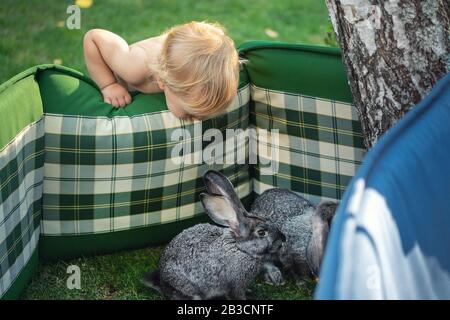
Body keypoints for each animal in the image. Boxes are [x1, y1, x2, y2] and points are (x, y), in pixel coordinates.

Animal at [142, 171, 284, 298]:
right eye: (261, 232)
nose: (283, 240)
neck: (241, 249)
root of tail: (161, 281)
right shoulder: (234, 285)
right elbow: (236, 295)